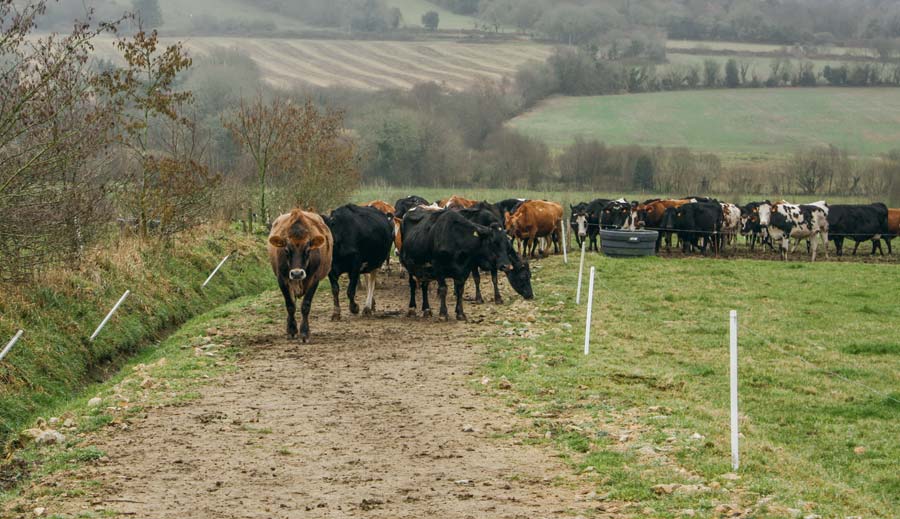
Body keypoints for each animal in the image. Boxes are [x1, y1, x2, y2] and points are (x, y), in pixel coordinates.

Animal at [270, 209, 338, 344]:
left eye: (307, 250)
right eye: (286, 250)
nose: (297, 273)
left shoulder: (314, 279)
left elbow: (306, 305)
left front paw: (305, 333)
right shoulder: (282, 279)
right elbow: (290, 305)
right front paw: (291, 330)